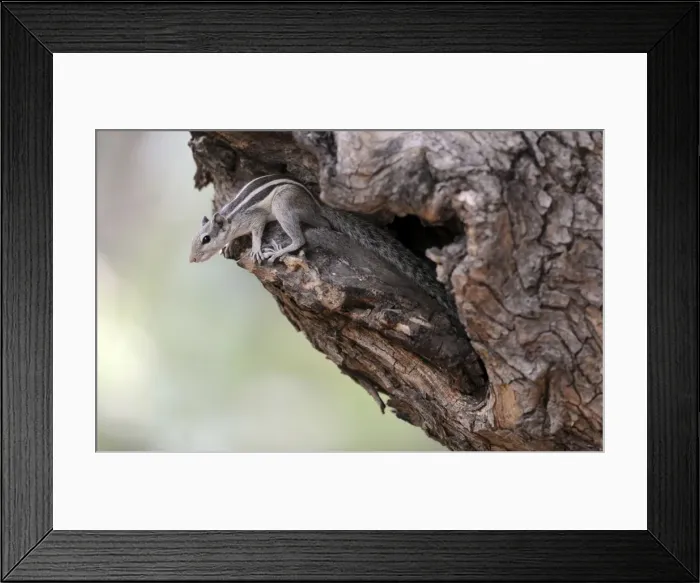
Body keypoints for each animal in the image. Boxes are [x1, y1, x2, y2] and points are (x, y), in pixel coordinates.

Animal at [188, 174, 457, 315]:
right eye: (194, 240)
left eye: (205, 239)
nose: (191, 259)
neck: (231, 217)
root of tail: (316, 204)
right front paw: (227, 246)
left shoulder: (254, 218)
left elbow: (256, 231)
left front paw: (254, 248)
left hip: (284, 206)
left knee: (309, 232)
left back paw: (280, 250)